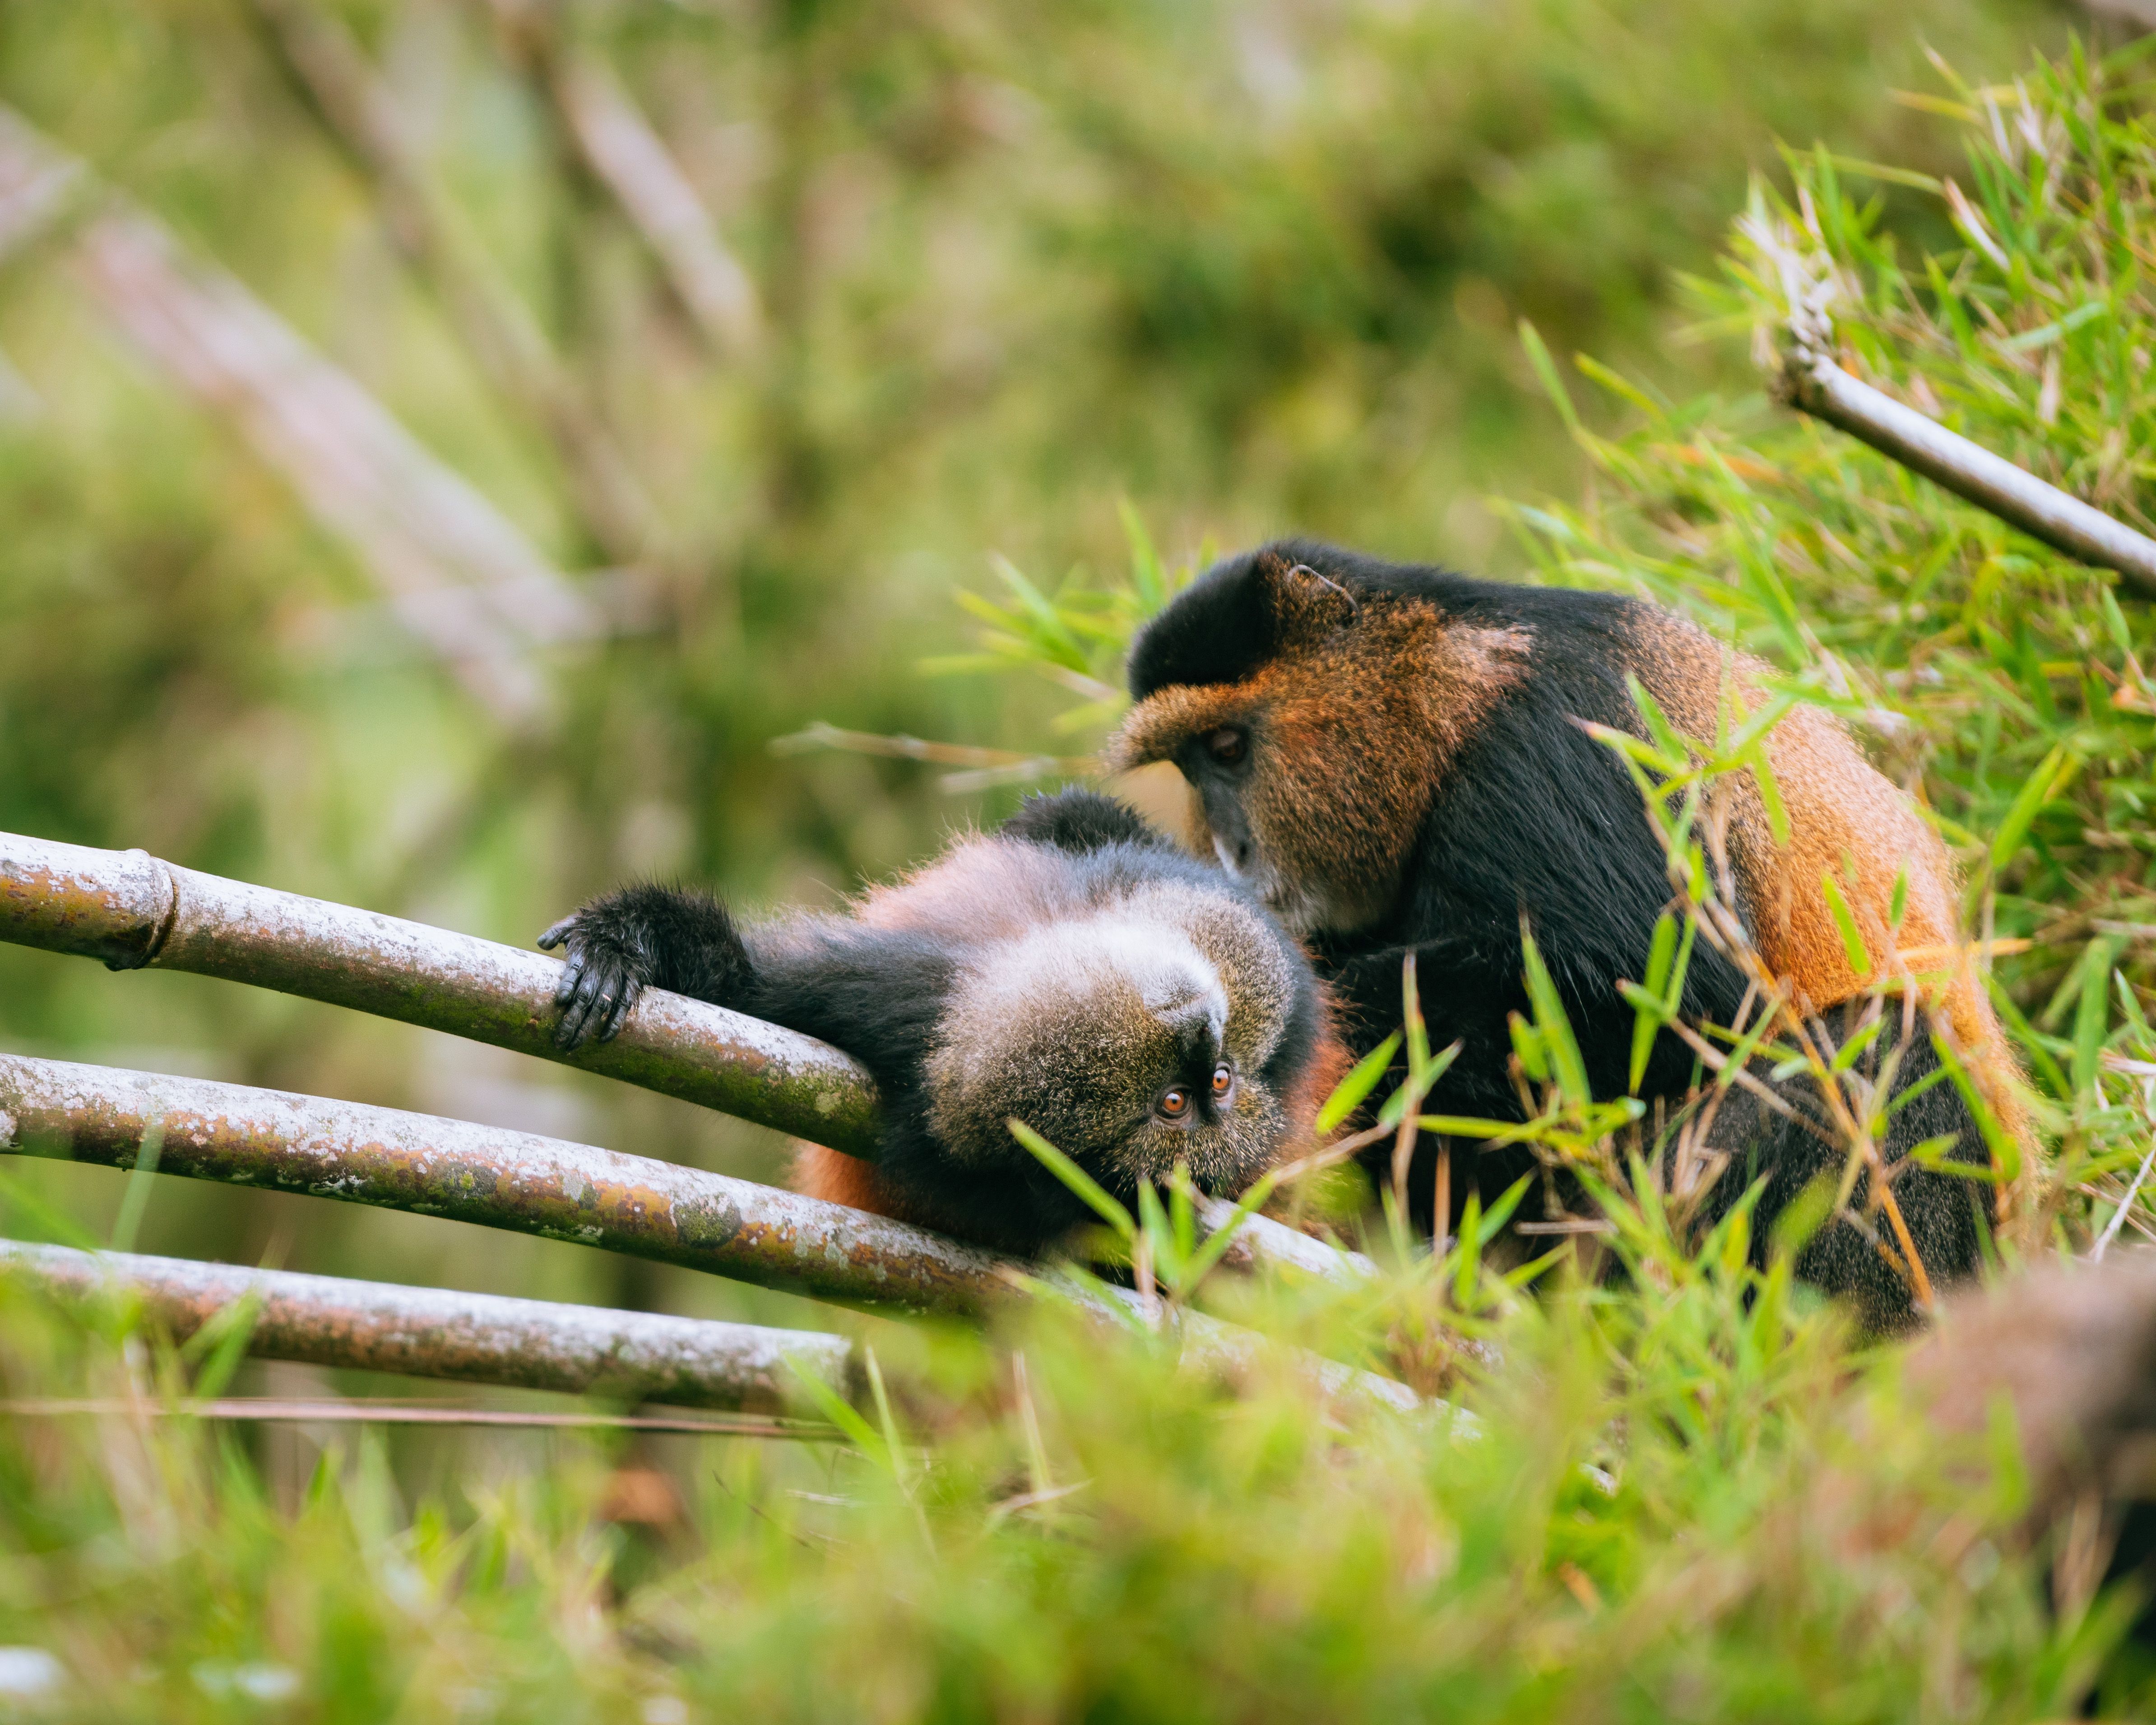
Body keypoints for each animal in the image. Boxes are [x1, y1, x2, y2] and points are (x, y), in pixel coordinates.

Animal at [1107, 538, 2028, 1328]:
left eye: (1228, 748)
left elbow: (1663, 1000)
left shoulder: (1563, 739)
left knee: (1887, 1047)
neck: (1455, 690)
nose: (1229, 851)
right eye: (1191, 764)